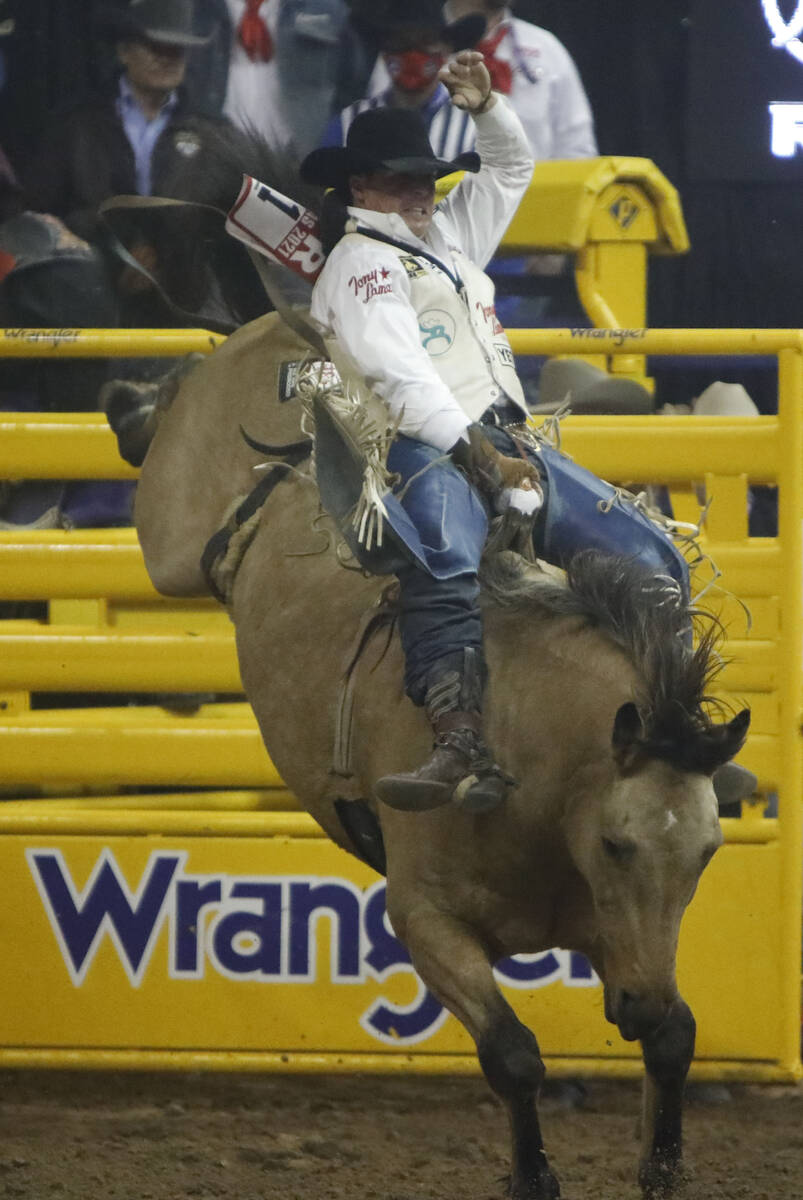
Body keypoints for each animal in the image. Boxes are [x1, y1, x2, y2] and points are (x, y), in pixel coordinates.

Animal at [123, 312, 744, 1200]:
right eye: (614, 843)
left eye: (706, 852)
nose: (640, 1005)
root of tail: (308, 356)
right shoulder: (423, 923)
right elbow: (513, 1054)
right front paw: (532, 1176)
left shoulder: (617, 936)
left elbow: (677, 1037)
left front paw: (660, 1163)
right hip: (171, 536)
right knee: (173, 438)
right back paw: (134, 397)